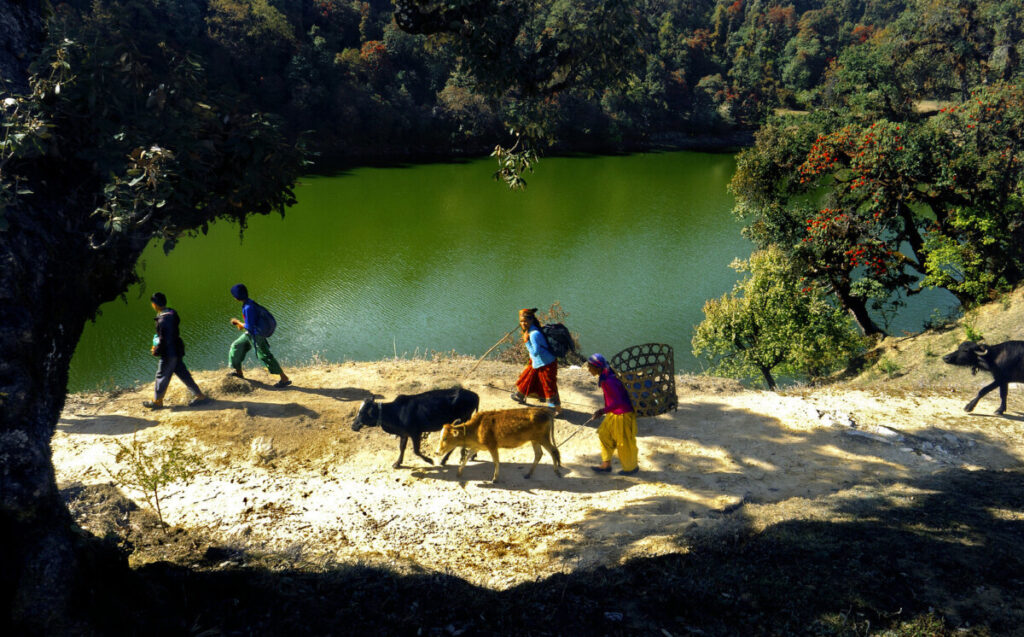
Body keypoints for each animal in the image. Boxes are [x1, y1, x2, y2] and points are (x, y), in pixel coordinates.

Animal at [436, 409, 565, 483]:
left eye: (445, 438)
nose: (437, 452)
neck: (476, 428)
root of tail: (546, 413)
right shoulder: (477, 446)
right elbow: (466, 457)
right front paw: (459, 473)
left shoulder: (492, 446)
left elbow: (496, 461)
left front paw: (495, 478)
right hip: (535, 440)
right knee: (539, 454)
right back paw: (528, 474)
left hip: (543, 438)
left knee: (553, 451)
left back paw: (556, 471)